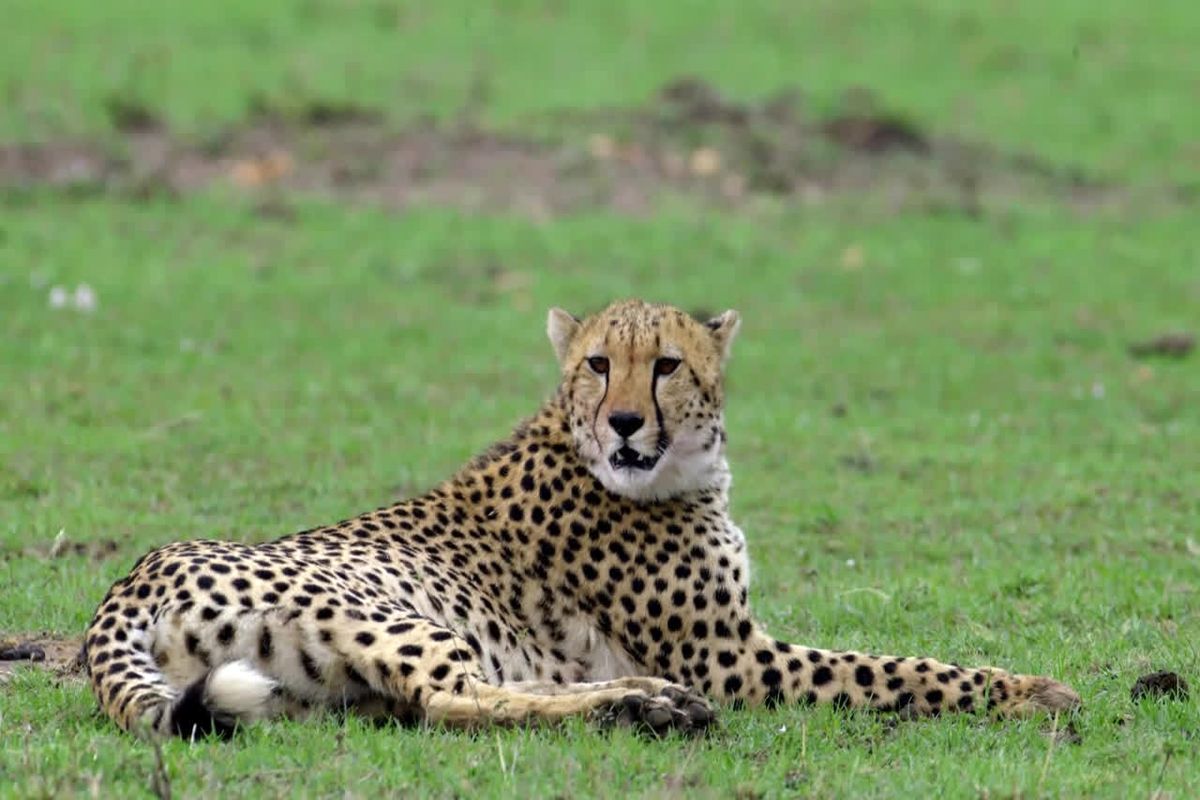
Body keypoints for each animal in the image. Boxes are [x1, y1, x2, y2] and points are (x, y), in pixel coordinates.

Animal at [82, 298, 1080, 738]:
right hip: (395, 609)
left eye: (667, 364)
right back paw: (644, 705)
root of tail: (135, 572)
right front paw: (1028, 690)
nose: (627, 421)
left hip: (320, 679)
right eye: (599, 364)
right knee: (456, 699)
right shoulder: (734, 658)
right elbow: (892, 671)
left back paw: (646, 700)